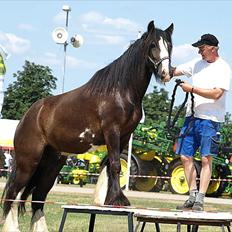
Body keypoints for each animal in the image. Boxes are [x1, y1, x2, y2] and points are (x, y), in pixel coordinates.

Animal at [1, 20, 172, 232]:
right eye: (153, 45)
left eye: (169, 45)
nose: (166, 73)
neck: (120, 92)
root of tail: (28, 116)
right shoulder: (112, 132)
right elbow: (116, 165)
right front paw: (118, 200)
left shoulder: (124, 136)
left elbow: (108, 165)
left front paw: (105, 199)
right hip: (28, 162)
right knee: (13, 194)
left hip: (52, 164)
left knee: (38, 197)